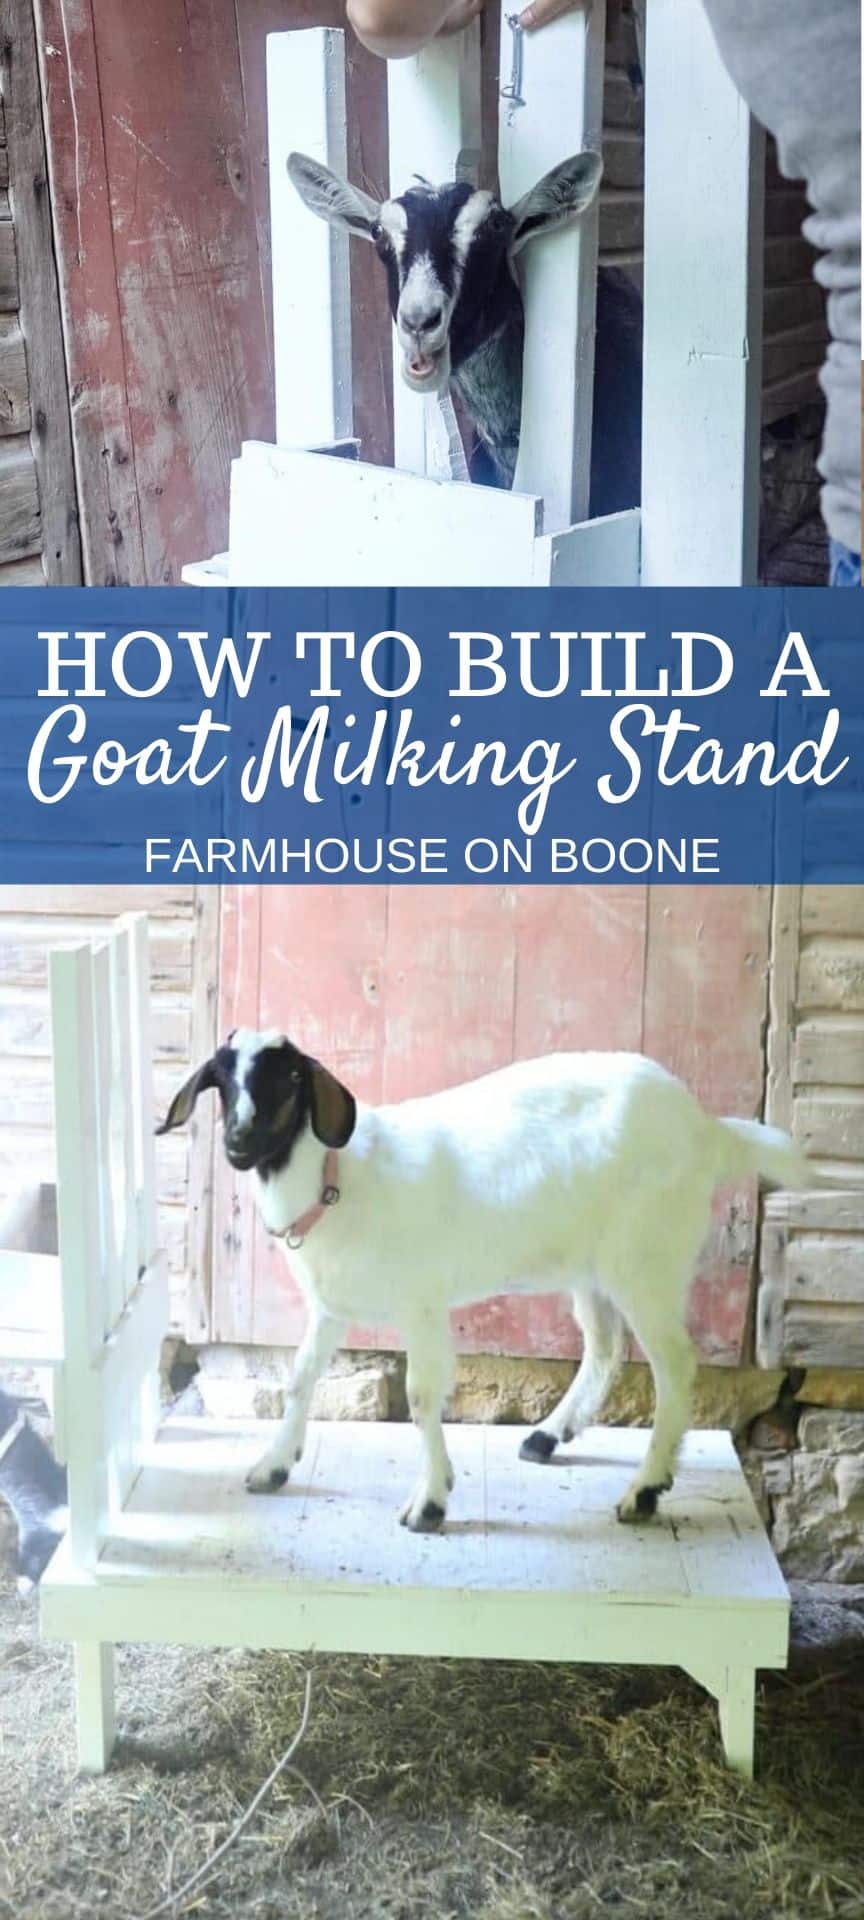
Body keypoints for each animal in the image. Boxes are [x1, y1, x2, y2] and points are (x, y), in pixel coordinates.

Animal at [159, 1033, 806, 1533]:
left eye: (291, 1078)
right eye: (222, 1079)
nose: (239, 1141)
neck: (339, 1181)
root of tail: (707, 1130)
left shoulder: (420, 1304)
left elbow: (421, 1397)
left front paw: (429, 1502)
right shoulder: (330, 1306)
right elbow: (298, 1379)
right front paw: (273, 1466)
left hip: (647, 1259)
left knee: (675, 1364)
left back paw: (645, 1490)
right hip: (593, 1266)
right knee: (605, 1345)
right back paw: (549, 1435)